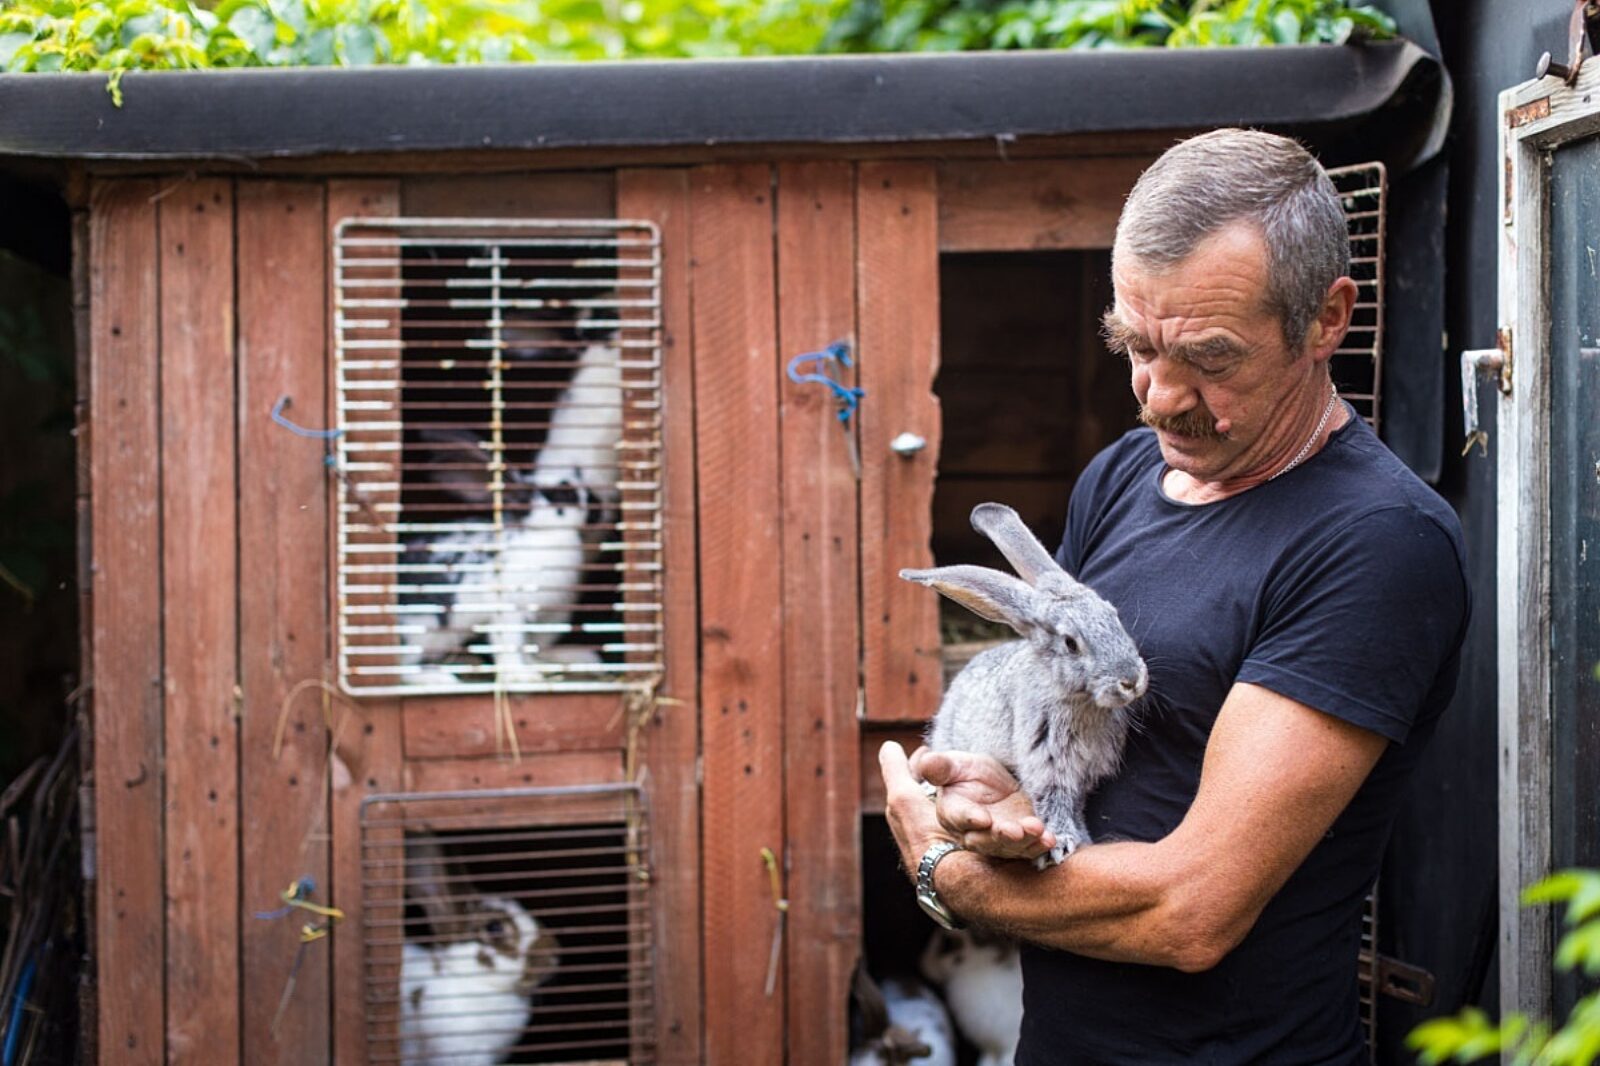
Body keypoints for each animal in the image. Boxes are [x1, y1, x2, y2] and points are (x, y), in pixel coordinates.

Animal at [900, 502, 1148, 866]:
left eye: (1113, 615)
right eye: (1070, 643)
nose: (1131, 681)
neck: (1078, 699)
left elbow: (1074, 804)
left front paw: (1079, 837)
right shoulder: (1047, 760)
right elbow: (1054, 800)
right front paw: (1061, 842)